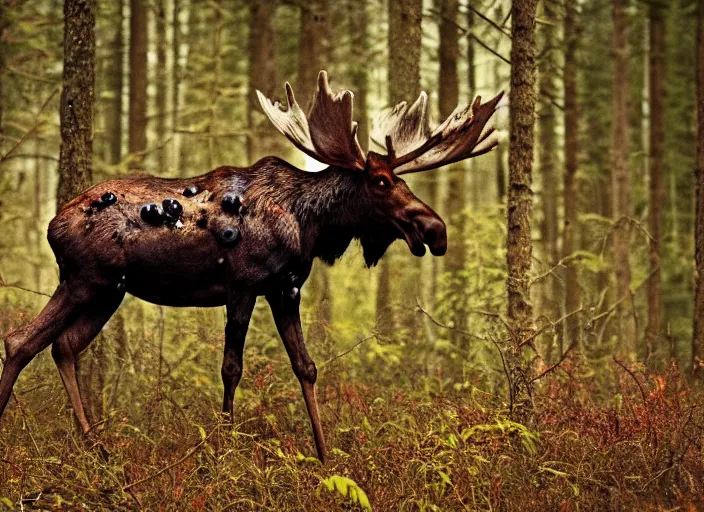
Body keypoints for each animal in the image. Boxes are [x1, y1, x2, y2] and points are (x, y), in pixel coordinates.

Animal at [0, 71, 500, 460]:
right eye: (380, 181)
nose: (436, 229)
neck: (309, 224)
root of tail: (52, 224)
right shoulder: (241, 284)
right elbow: (231, 368)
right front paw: (223, 448)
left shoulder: (285, 288)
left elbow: (306, 366)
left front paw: (324, 457)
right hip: (84, 280)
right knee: (21, 340)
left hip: (109, 291)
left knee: (63, 346)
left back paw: (95, 445)